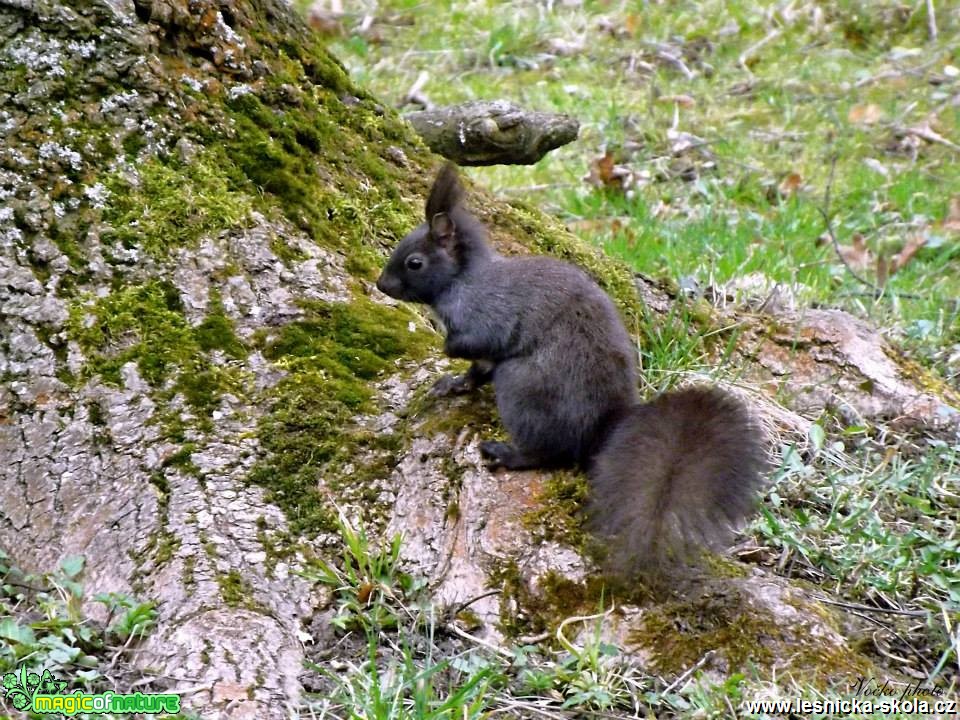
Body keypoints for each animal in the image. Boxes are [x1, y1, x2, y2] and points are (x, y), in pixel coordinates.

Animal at [376, 165, 764, 580]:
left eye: (414, 262)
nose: (381, 284)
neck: (463, 280)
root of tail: (600, 431)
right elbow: (476, 371)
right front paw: (452, 384)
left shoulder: (487, 314)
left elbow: (476, 343)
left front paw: (447, 350)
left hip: (521, 385)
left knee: (550, 452)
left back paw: (508, 454)